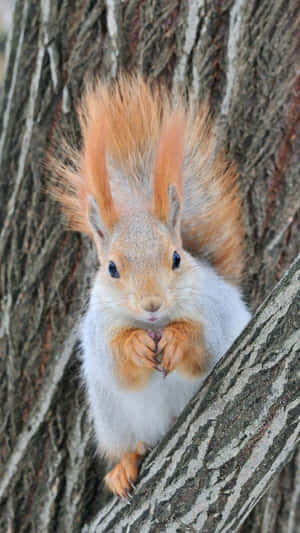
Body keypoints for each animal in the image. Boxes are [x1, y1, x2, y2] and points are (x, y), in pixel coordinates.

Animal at [49, 75, 251, 498]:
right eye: (111, 268)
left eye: (176, 258)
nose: (152, 305)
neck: (155, 325)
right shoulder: (99, 330)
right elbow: (119, 362)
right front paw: (136, 346)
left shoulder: (213, 313)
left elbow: (203, 347)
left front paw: (175, 340)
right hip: (112, 418)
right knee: (129, 443)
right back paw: (125, 465)